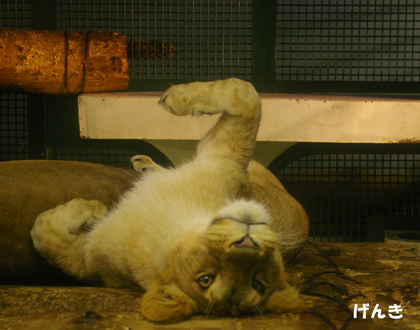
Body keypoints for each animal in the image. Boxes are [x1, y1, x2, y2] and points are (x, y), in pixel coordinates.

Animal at [4, 79, 308, 322]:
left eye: (206, 280)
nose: (249, 236)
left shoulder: (228, 157)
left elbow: (244, 92)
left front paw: (90, 208)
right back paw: (145, 165)